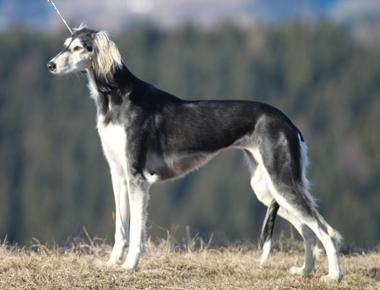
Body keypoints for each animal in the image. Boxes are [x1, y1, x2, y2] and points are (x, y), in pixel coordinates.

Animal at [48, 26, 344, 280]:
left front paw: (130, 265)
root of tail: (289, 123)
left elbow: (135, 233)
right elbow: (121, 228)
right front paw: (112, 263)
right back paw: (305, 271)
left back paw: (334, 275)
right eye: (65, 45)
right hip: (267, 188)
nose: (50, 65)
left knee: (326, 231)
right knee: (308, 231)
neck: (117, 97)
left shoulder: (137, 178)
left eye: (78, 48)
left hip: (282, 183)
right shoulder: (119, 175)